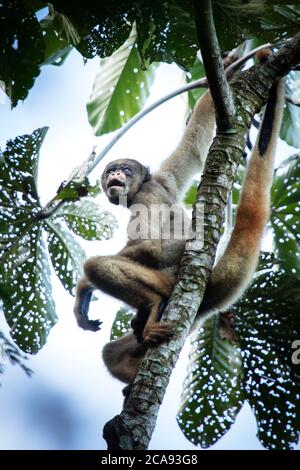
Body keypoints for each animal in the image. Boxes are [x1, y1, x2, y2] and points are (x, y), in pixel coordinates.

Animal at [74, 53, 284, 388]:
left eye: (125, 170)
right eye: (110, 171)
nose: (115, 175)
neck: (145, 184)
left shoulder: (146, 195)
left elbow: (150, 246)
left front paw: (84, 288)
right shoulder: (165, 178)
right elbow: (194, 144)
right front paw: (226, 71)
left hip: (167, 283)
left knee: (98, 266)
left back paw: (150, 305)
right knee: (110, 352)